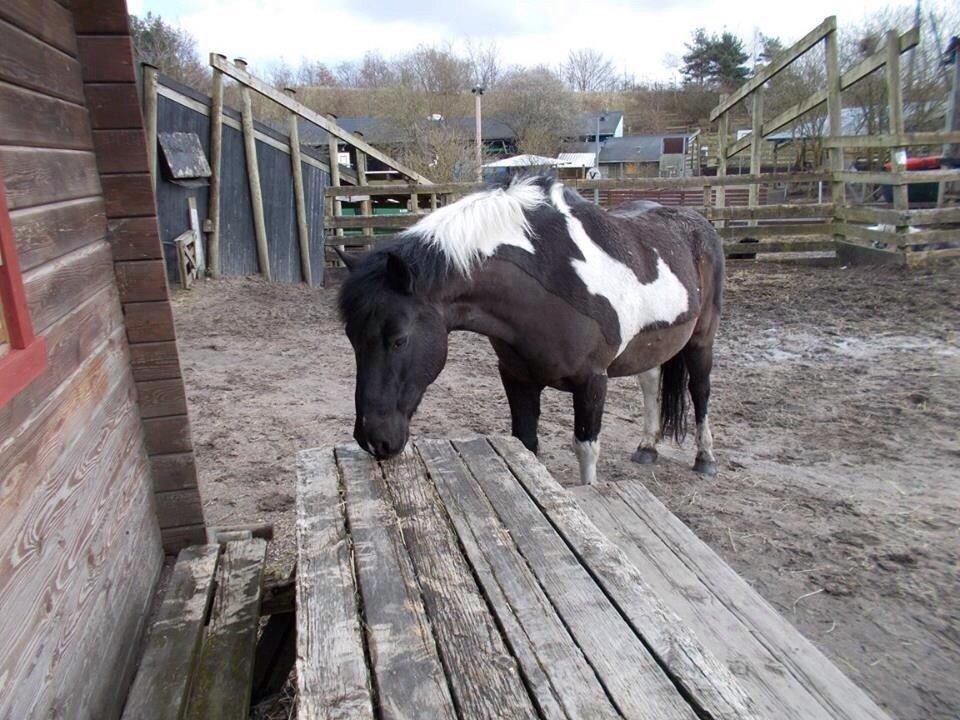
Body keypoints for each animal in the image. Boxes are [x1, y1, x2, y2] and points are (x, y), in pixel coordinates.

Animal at [337, 175, 724, 484]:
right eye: (352, 340)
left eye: (399, 340)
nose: (373, 440)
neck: (549, 280)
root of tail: (700, 224)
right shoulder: (517, 378)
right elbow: (524, 445)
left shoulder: (592, 381)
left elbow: (586, 450)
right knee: (651, 382)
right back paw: (647, 446)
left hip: (701, 340)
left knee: (701, 390)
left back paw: (705, 458)